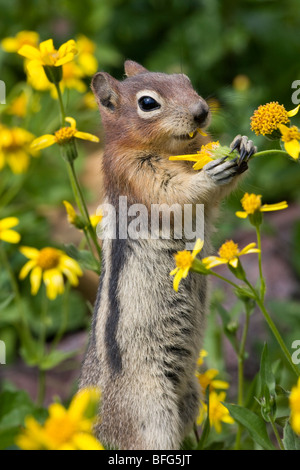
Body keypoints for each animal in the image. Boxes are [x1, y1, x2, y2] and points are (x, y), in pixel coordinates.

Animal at [79, 60, 255, 450]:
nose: (201, 111)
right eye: (148, 103)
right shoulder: (137, 176)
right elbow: (177, 196)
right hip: (150, 416)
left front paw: (243, 144)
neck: (173, 150)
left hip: (188, 396)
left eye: (185, 80)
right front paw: (214, 170)